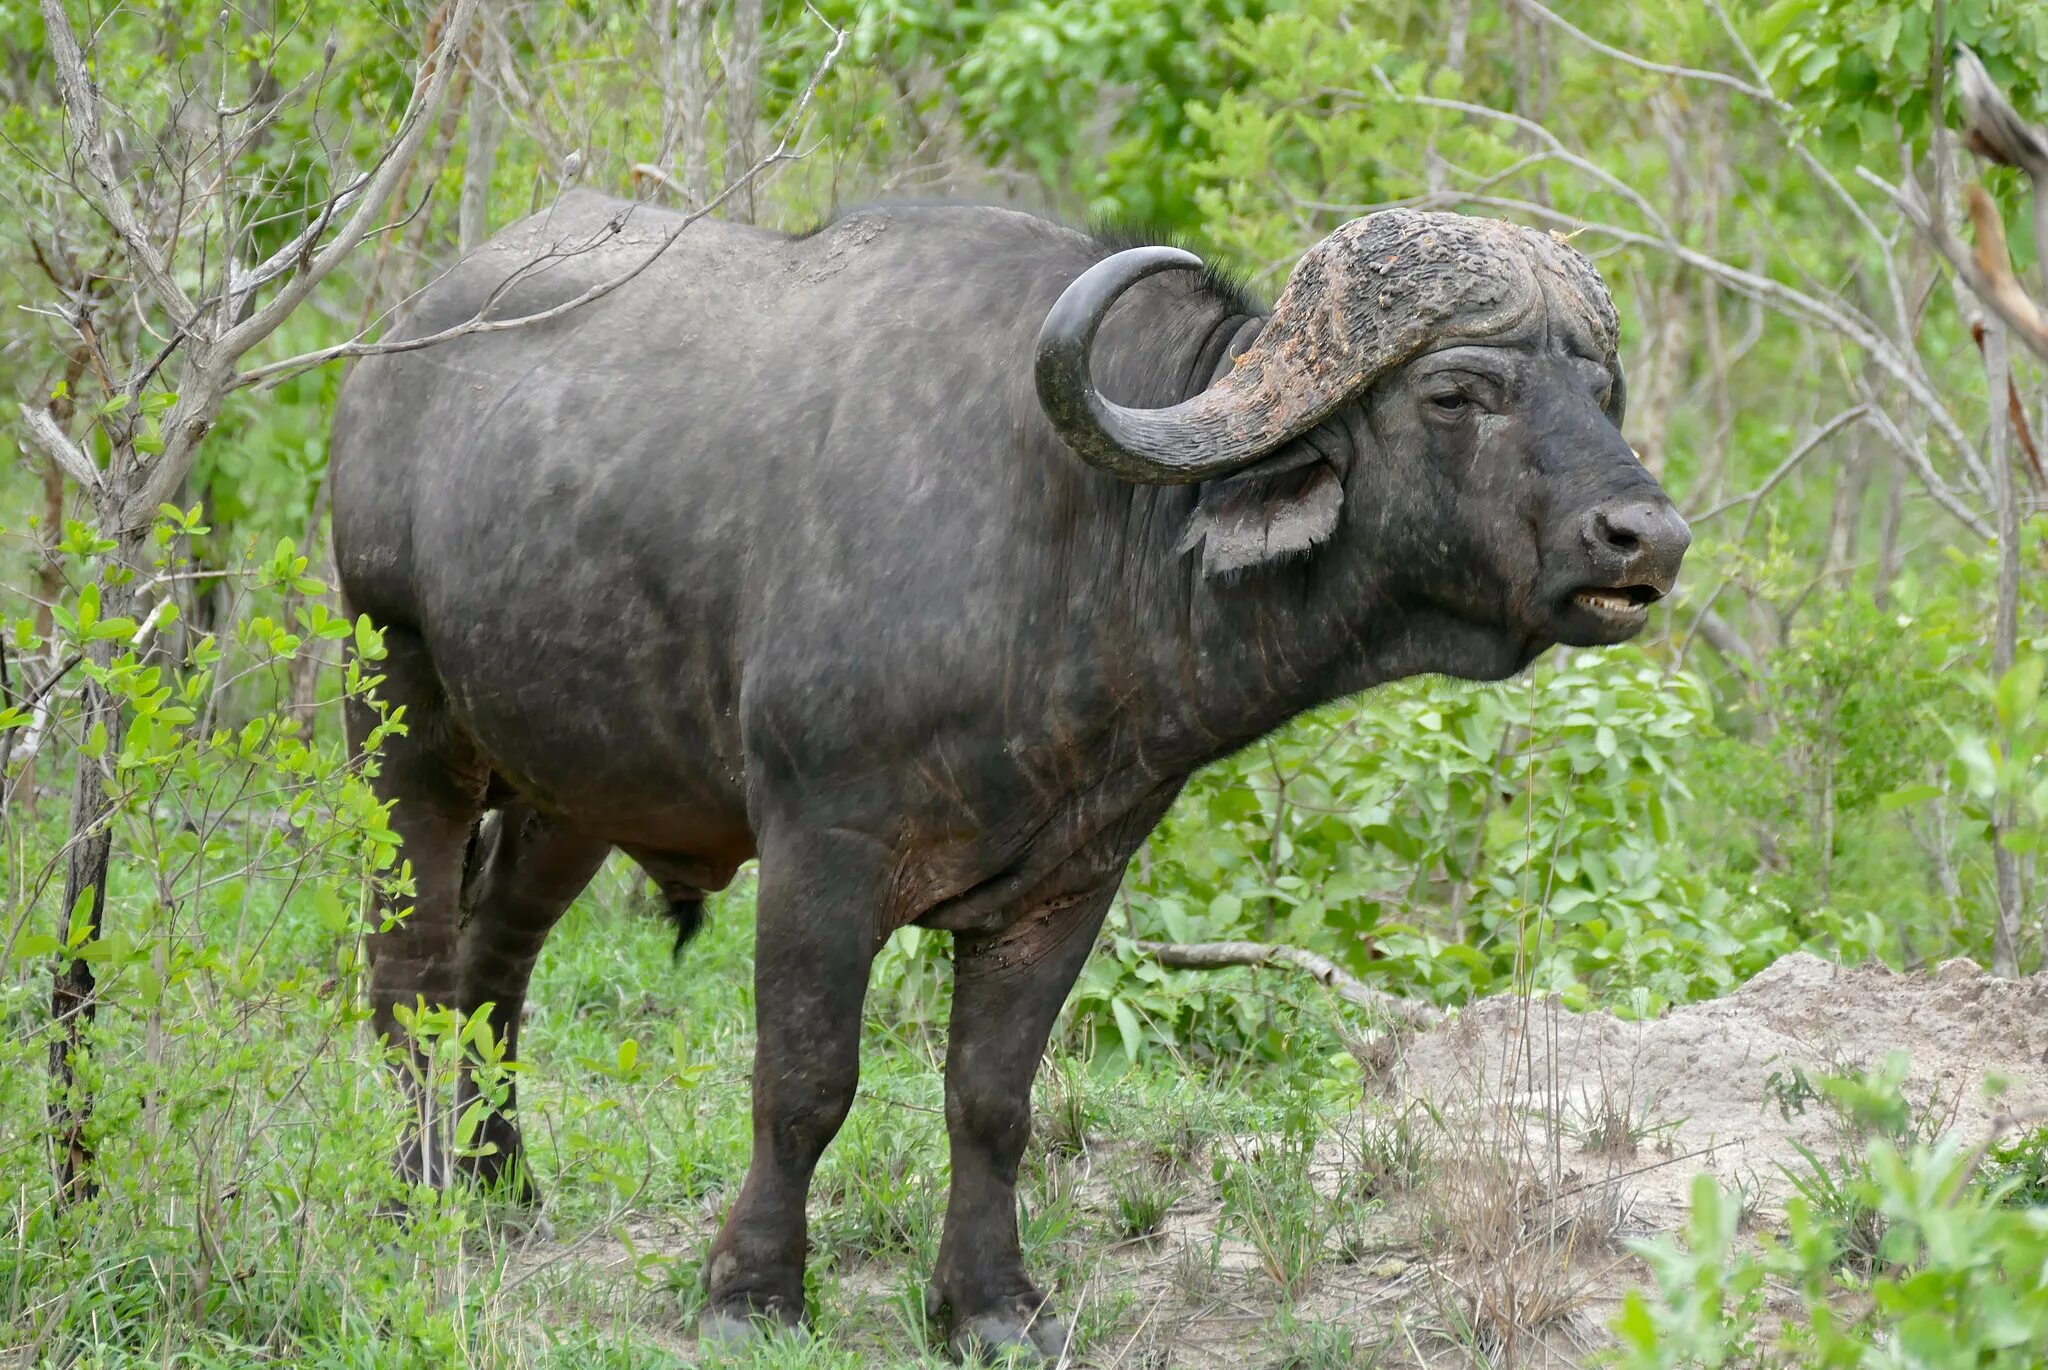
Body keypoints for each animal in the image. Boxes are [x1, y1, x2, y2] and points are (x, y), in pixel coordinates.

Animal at [327, 192, 1687, 1359]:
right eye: (1458, 391)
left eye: (1598, 391)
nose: (1647, 537)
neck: (1072, 538)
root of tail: (395, 358)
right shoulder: (820, 852)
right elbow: (804, 1081)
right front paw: (752, 1292)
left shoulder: (1069, 879)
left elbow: (992, 1097)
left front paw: (985, 1304)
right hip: (397, 711)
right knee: (409, 964)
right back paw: (419, 1185)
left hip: (574, 785)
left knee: (494, 959)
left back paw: (503, 1175)